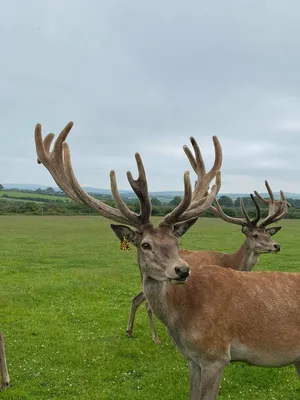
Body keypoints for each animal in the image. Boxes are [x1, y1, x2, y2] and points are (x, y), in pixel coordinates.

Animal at [35, 122, 300, 400]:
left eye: (177, 243)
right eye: (146, 244)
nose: (182, 270)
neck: (184, 319)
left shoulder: (216, 355)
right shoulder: (196, 359)